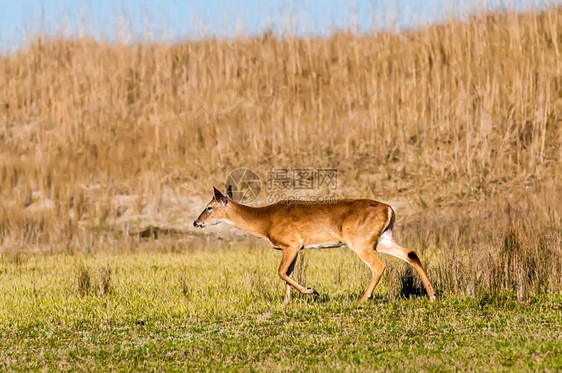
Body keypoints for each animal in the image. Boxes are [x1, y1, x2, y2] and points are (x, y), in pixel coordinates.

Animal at [195, 186, 436, 306]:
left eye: (208, 207)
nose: (196, 222)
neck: (265, 221)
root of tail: (390, 209)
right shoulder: (293, 248)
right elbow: (288, 273)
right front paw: (286, 303)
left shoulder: (291, 243)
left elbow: (281, 272)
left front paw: (312, 291)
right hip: (381, 239)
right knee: (411, 253)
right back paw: (432, 295)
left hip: (360, 241)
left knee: (379, 266)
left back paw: (361, 300)